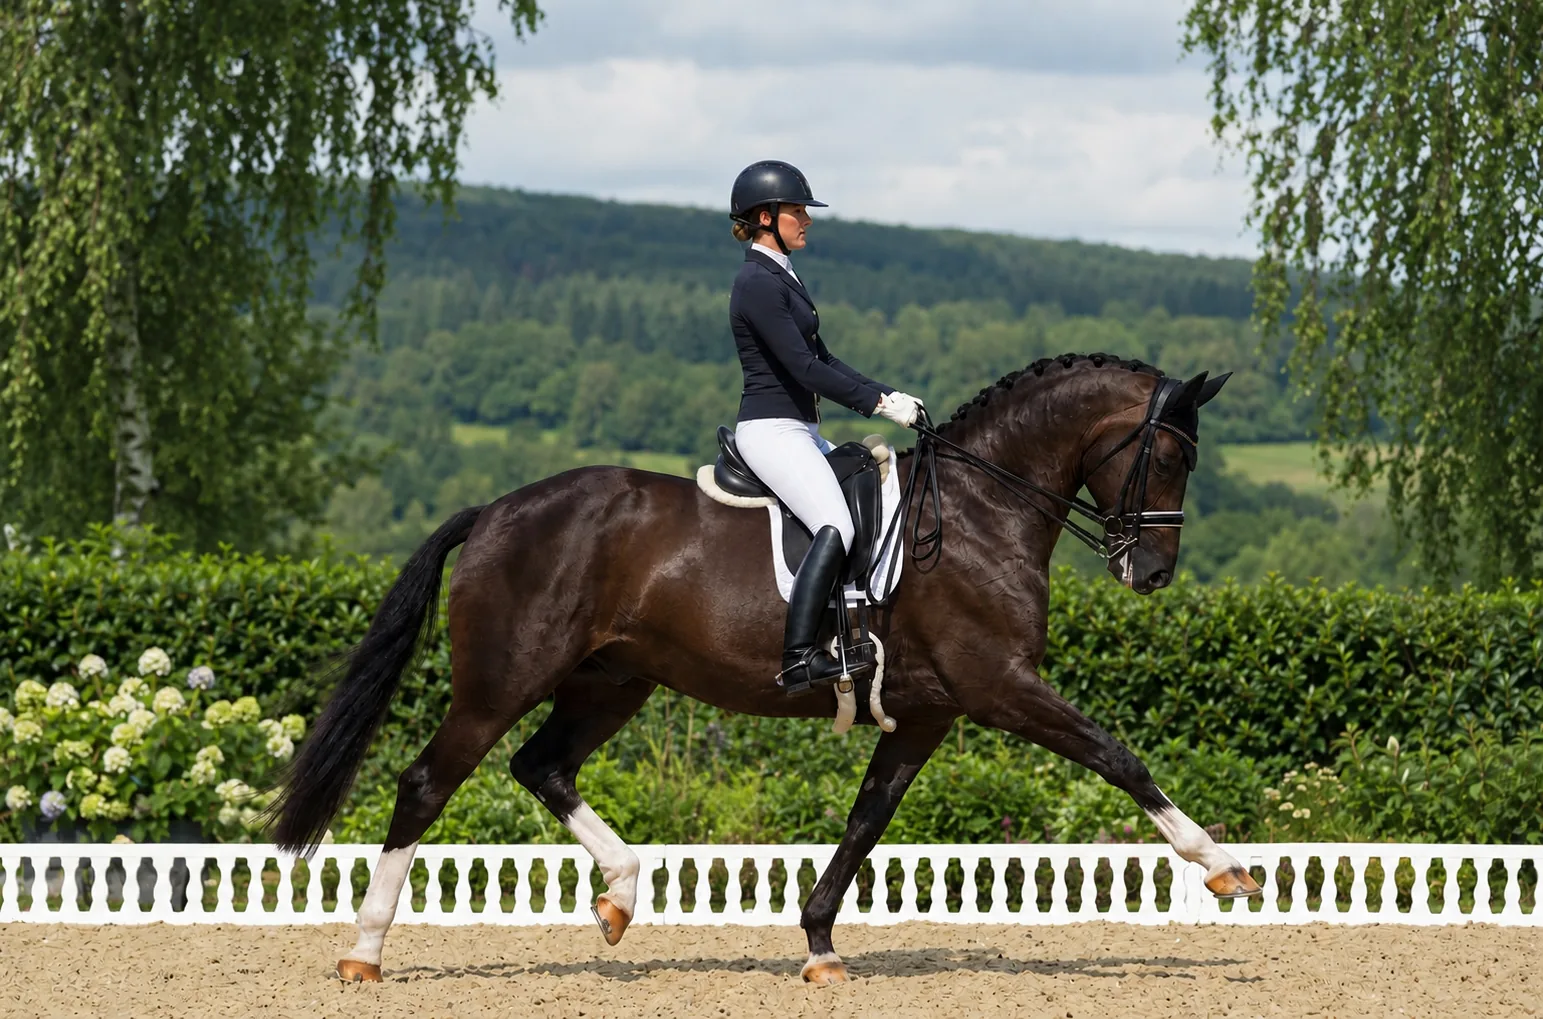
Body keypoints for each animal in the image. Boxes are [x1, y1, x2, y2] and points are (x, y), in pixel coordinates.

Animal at [270, 351, 1259, 985]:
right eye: (1170, 454)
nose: (1151, 571)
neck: (979, 509)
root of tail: (496, 509)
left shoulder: (930, 711)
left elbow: (866, 821)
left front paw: (819, 945)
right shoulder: (1000, 684)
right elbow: (1117, 756)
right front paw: (1223, 868)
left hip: (612, 680)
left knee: (541, 764)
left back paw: (620, 896)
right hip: (502, 679)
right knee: (428, 780)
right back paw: (364, 953)